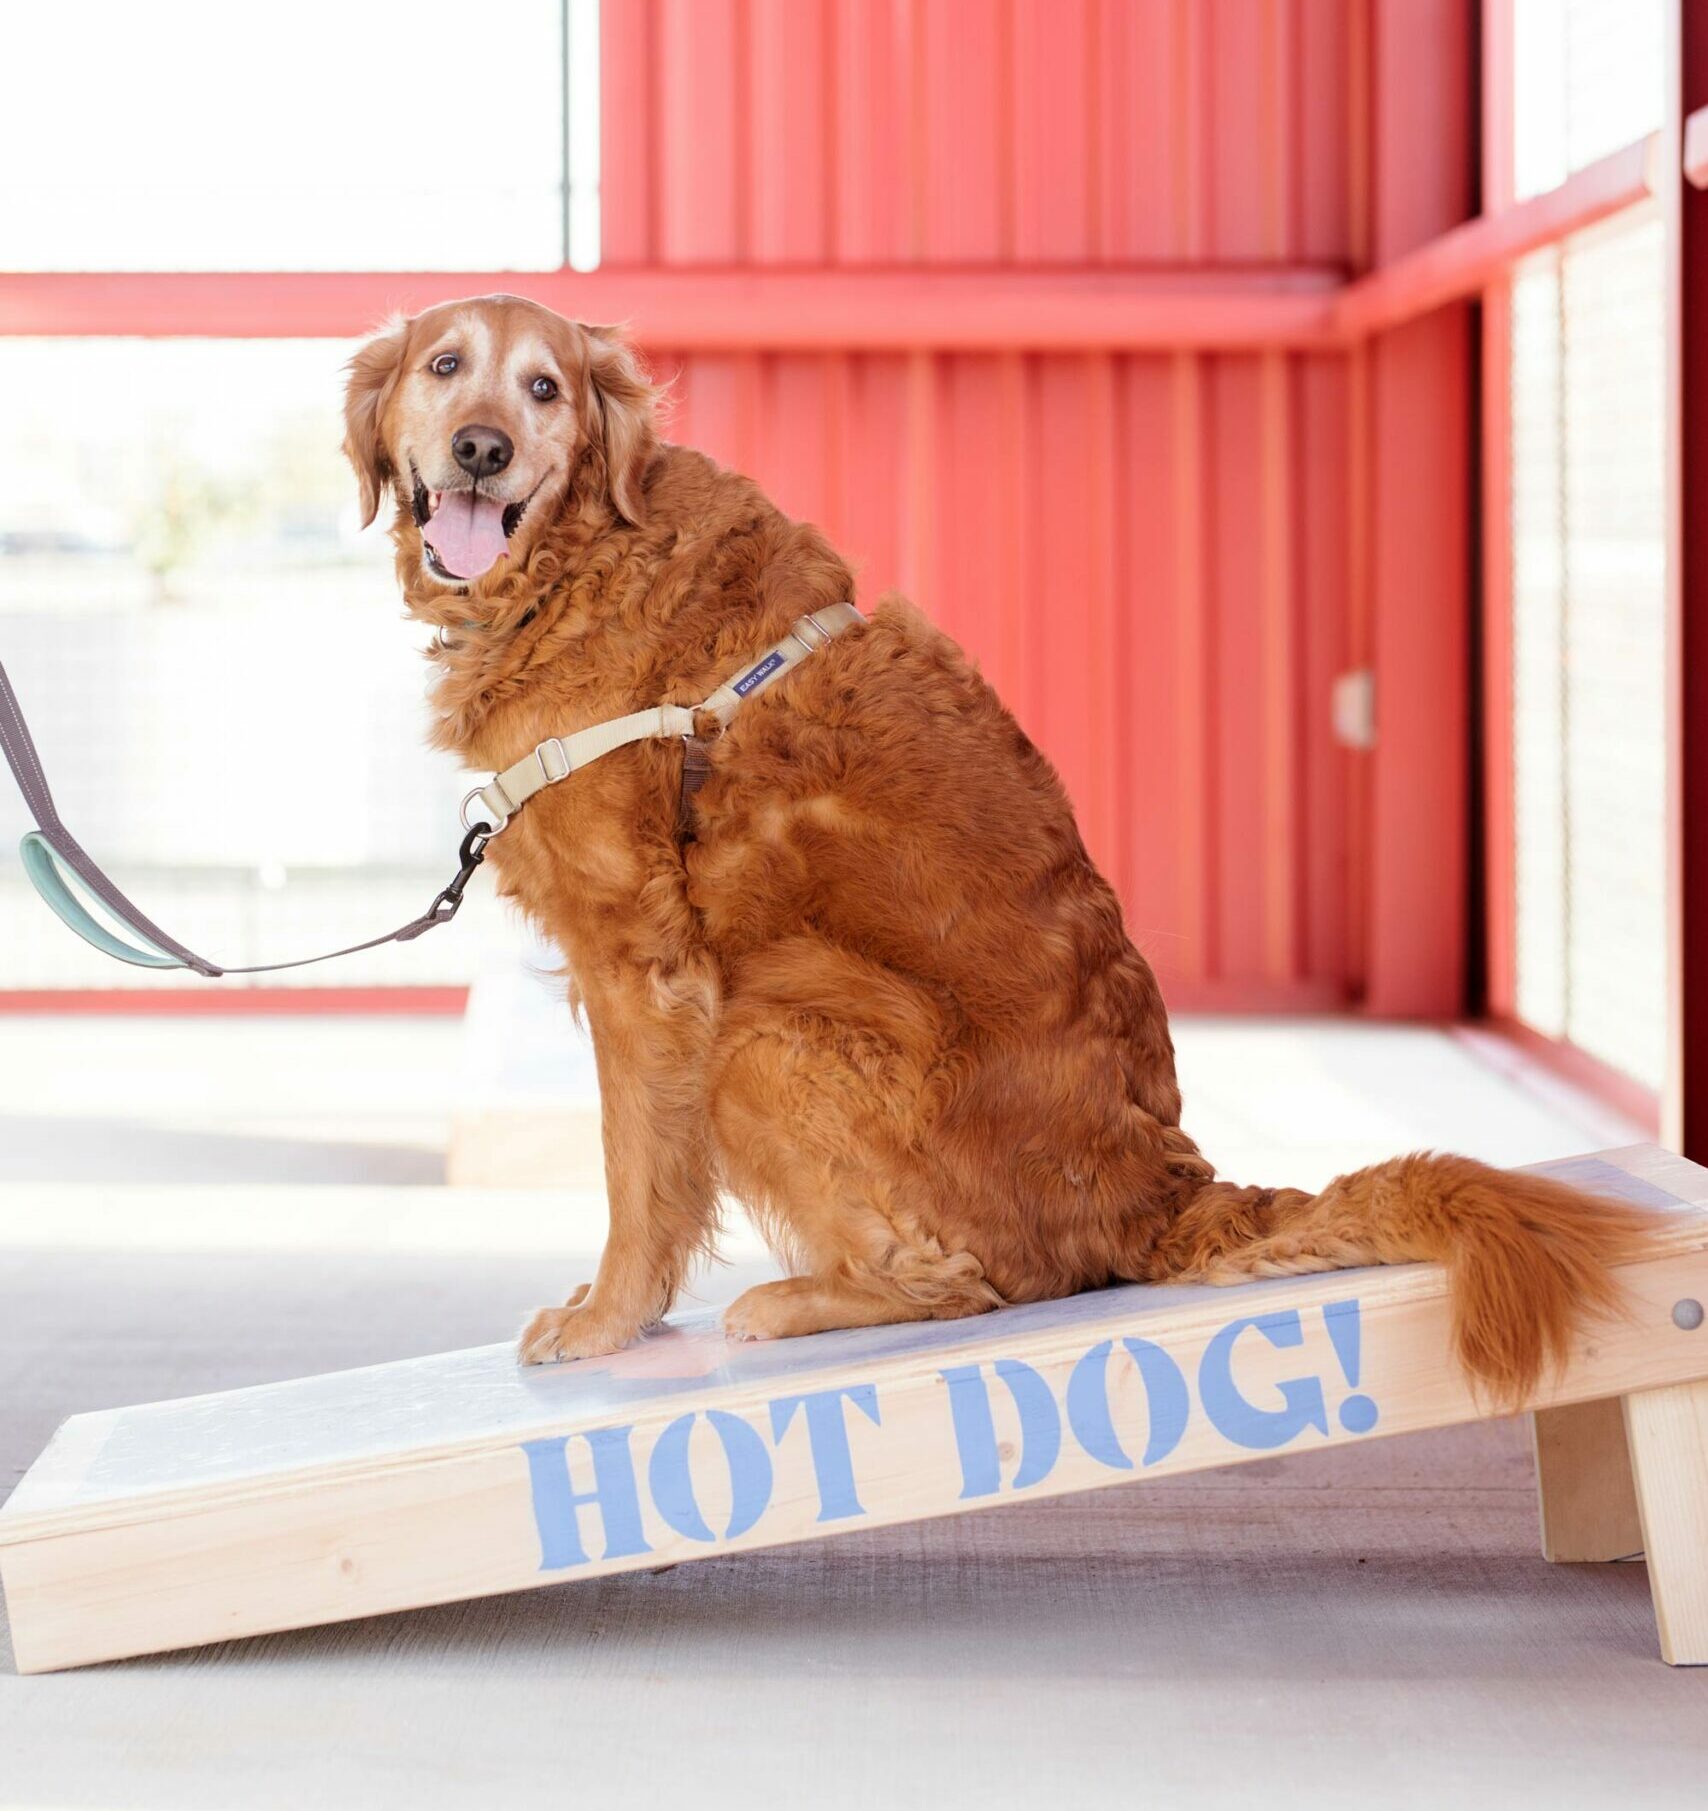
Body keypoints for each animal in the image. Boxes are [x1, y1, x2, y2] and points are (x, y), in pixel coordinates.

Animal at [347, 297, 1659, 1398]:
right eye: (445, 366)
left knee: (964, 1282)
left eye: (545, 387)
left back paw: (798, 1298)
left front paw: (609, 1318)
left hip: (763, 1030)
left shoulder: (646, 968)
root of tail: (1164, 1188)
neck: (582, 557)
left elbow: (637, 1174)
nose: (480, 450)